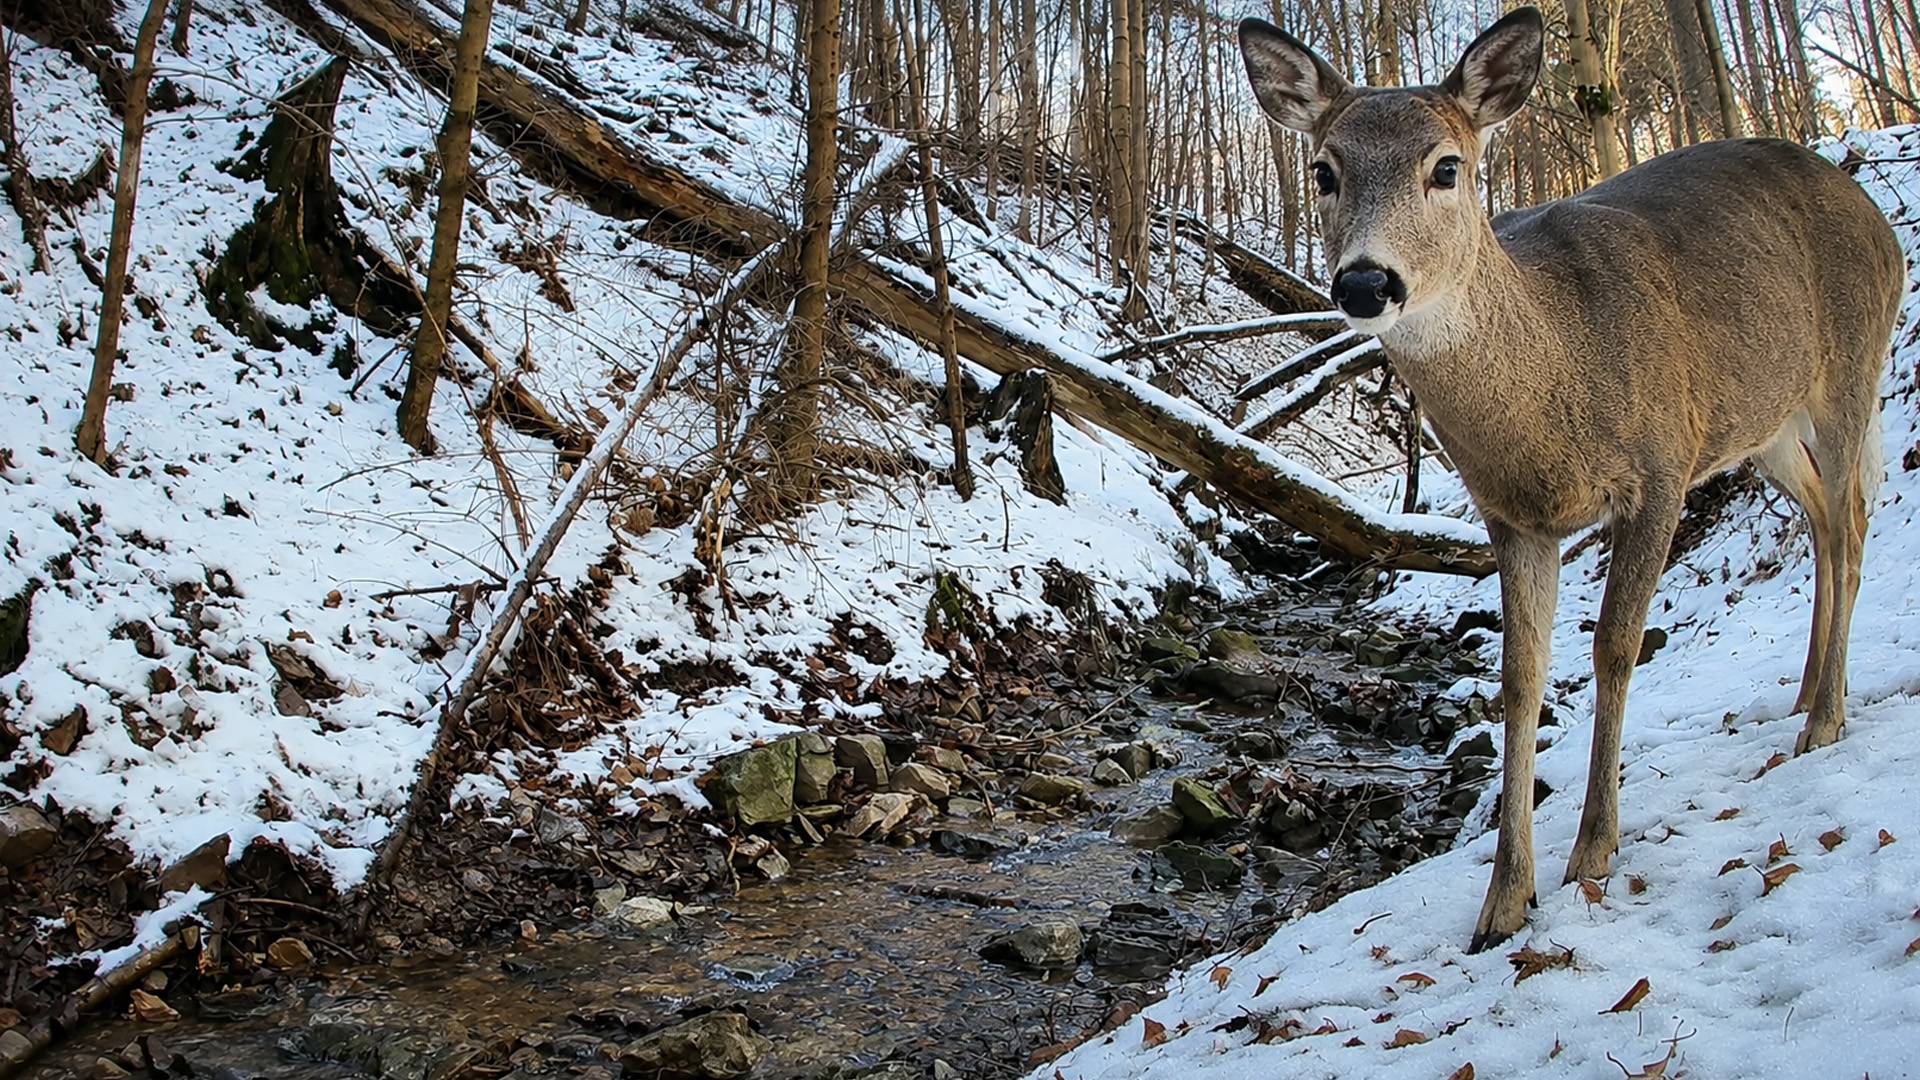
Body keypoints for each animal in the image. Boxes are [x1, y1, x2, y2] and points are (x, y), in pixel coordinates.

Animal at [1238, 6, 1903, 950]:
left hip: (1850, 367)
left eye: (1448, 166)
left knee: (1849, 519)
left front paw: (1592, 850)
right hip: (1761, 422)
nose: (1365, 281)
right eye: (1324, 170)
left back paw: (1826, 717)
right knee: (1819, 513)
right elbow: (1521, 681)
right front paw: (1503, 901)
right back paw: (1807, 692)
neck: (1556, 383)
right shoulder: (1512, 516)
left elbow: (1614, 648)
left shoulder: (1660, 468)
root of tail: (1875, 215)